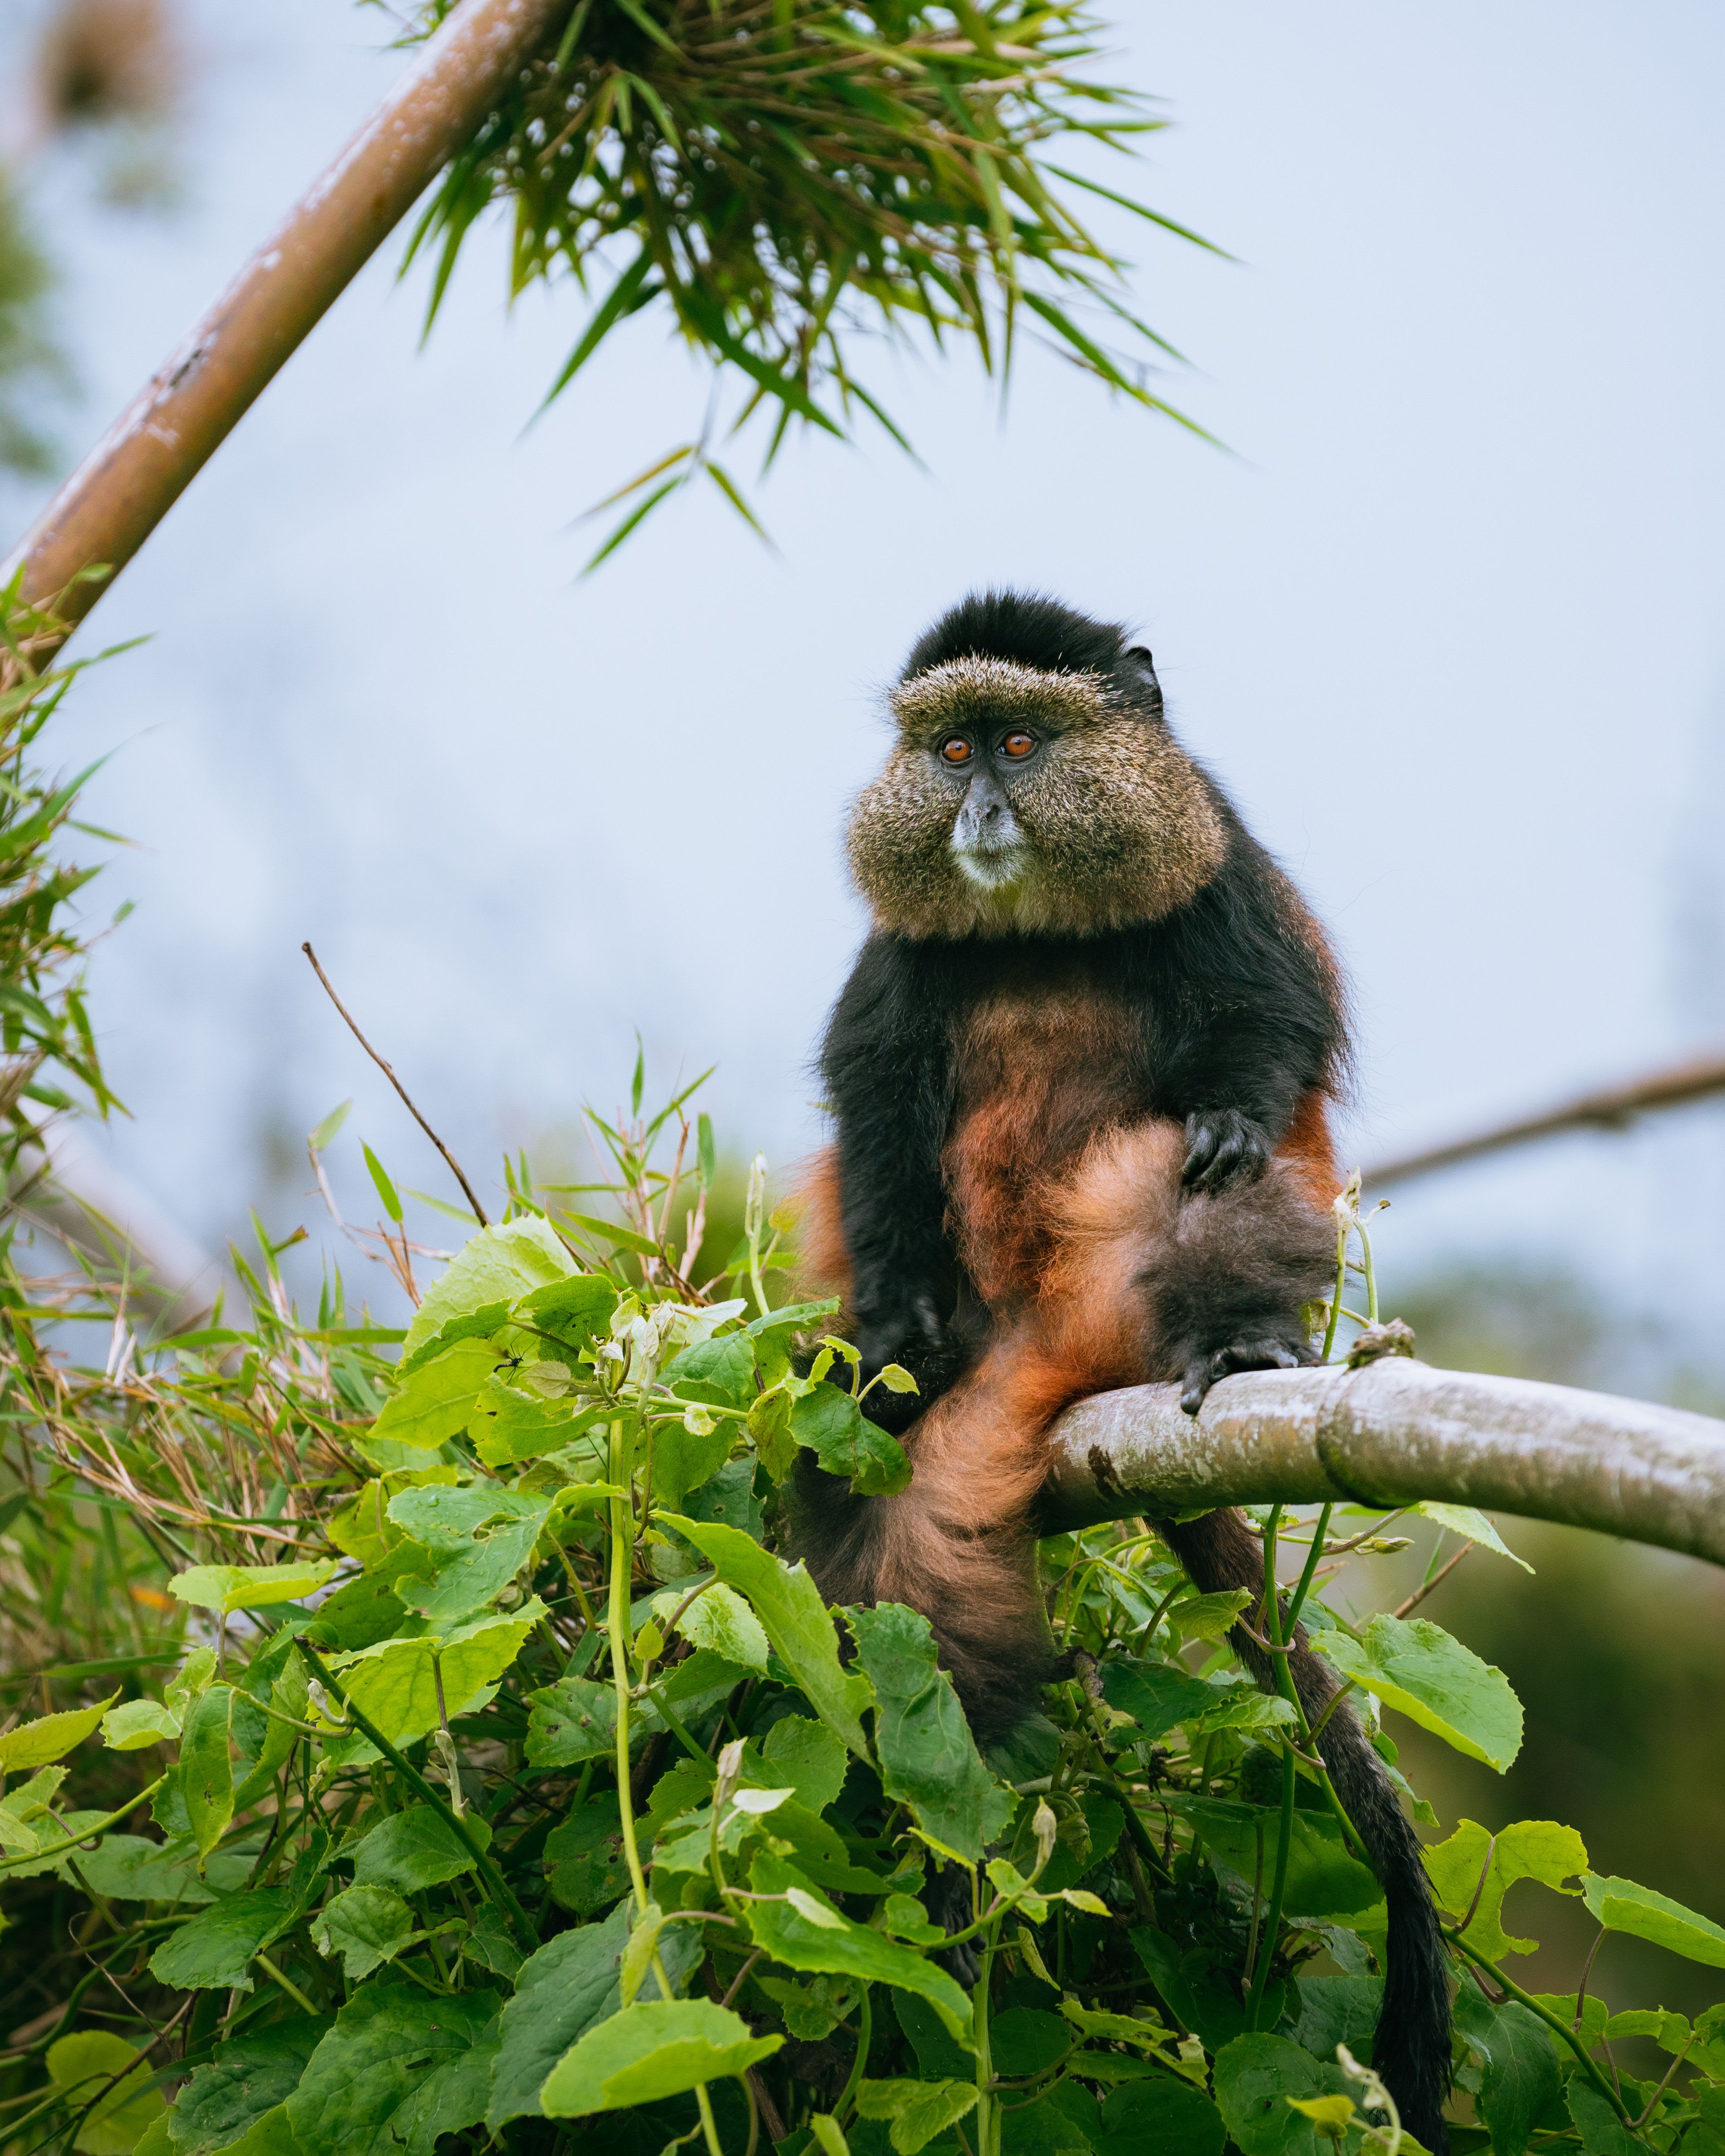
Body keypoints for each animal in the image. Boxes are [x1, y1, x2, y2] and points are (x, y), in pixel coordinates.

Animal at [786, 590, 1451, 2152]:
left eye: (1023, 744)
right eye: (948, 746)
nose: (976, 805)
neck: (1035, 925)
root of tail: (1041, 1347)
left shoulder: (1224, 880)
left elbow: (1260, 1042)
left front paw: (1232, 1122)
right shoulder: (896, 960)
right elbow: (875, 1105)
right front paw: (891, 1336)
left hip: (1116, 1283)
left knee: (1190, 1185)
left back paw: (1233, 1333)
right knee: (888, 1577)